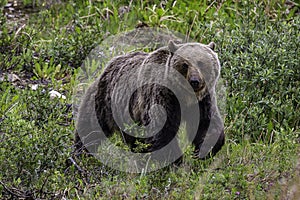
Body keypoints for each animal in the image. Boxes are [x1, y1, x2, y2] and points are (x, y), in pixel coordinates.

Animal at [75, 40, 225, 166]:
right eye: (185, 64)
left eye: (201, 62)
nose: (194, 81)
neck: (185, 97)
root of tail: (107, 66)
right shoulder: (163, 98)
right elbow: (162, 132)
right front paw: (174, 162)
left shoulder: (203, 102)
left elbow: (207, 125)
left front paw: (204, 151)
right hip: (104, 102)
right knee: (90, 130)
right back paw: (80, 155)